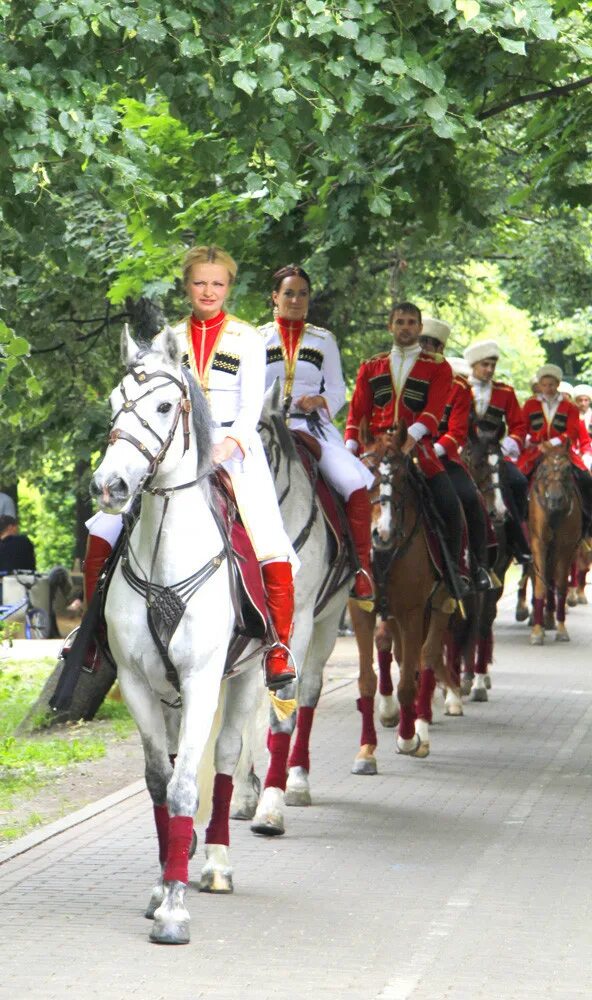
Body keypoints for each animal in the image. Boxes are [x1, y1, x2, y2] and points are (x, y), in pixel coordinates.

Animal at [91, 330, 262, 944]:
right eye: (114, 403)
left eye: (165, 406)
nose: (109, 485)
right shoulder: (138, 684)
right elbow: (159, 784)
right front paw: (161, 887)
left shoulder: (203, 679)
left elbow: (188, 784)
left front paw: (175, 909)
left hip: (247, 678)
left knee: (229, 758)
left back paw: (214, 865)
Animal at [230, 382, 352, 836]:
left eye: (258, 434)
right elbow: (246, 709)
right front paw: (244, 793)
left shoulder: (298, 623)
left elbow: (284, 704)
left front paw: (271, 805)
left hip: (330, 620)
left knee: (309, 691)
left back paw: (296, 779)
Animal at [350, 420, 456, 764]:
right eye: (365, 471)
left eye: (401, 477)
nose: (382, 534)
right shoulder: (361, 609)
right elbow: (367, 680)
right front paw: (366, 751)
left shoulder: (412, 611)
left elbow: (409, 679)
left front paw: (408, 739)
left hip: (441, 603)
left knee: (427, 656)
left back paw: (422, 725)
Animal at [528, 442, 580, 644]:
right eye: (543, 468)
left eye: (568, 469)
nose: (555, 500)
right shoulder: (538, 544)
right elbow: (540, 584)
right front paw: (537, 631)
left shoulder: (565, 548)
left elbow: (561, 585)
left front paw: (561, 629)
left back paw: (550, 617)